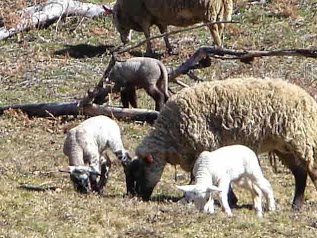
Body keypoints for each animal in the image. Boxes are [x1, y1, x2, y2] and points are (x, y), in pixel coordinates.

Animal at [103, 0, 232, 54]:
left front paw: (148, 51)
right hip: (222, 9)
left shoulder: (143, 17)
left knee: (214, 28)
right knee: (220, 27)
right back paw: (215, 46)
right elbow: (164, 33)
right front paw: (169, 48)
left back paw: (217, 48)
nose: (125, 41)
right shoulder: (160, 19)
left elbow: (147, 34)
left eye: (119, 25)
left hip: (208, 10)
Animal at [127, 77, 316, 209]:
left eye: (139, 172)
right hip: (283, 147)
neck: (171, 133)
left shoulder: (205, 146)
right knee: (300, 172)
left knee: (309, 170)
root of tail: (309, 99)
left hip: (301, 141)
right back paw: (296, 204)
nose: (139, 197)